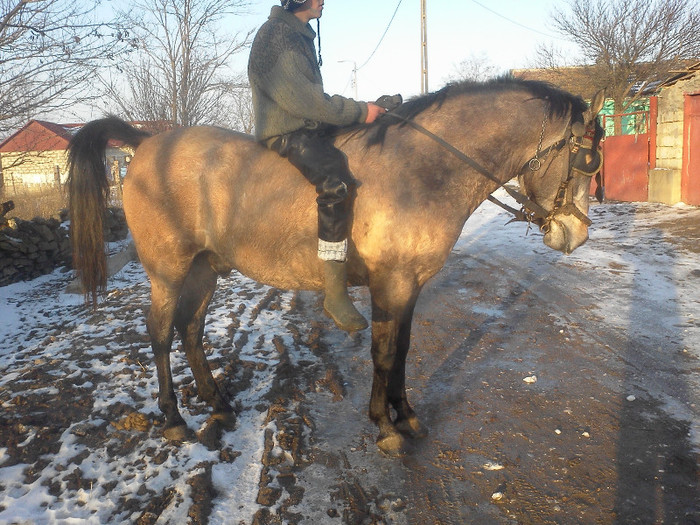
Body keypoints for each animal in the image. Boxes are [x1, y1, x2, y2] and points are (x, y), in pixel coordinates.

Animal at [69, 77, 608, 454]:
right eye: (587, 161)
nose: (576, 234)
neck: (423, 169)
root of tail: (144, 143)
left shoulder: (411, 285)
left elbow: (403, 349)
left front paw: (405, 414)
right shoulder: (391, 282)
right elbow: (384, 352)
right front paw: (385, 425)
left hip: (204, 267)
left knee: (190, 328)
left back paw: (218, 403)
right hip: (168, 270)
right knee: (160, 332)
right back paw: (174, 419)